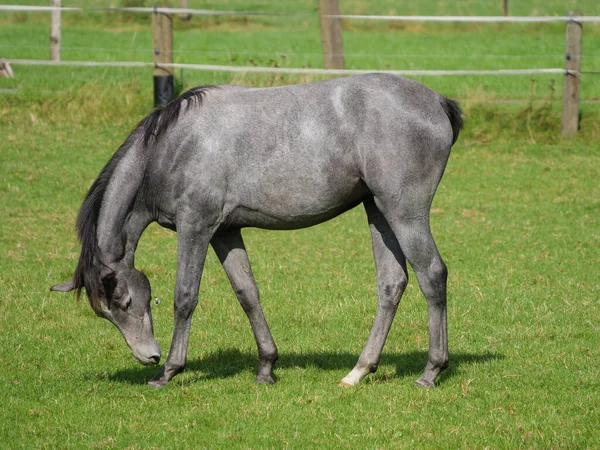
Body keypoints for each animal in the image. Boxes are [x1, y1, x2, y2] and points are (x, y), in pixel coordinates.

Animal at [52, 73, 464, 386]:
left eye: (125, 302)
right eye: (106, 314)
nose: (148, 357)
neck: (173, 145)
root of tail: (437, 101)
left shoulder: (195, 227)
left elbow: (185, 297)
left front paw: (169, 371)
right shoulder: (224, 232)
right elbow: (247, 293)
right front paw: (266, 367)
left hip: (404, 214)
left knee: (432, 275)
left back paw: (431, 371)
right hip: (379, 212)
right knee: (391, 284)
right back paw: (358, 372)